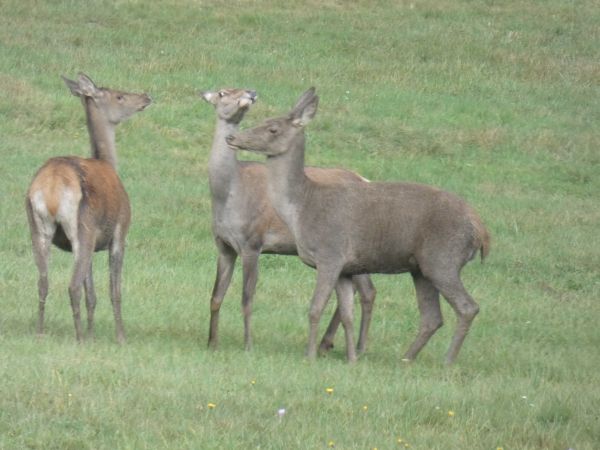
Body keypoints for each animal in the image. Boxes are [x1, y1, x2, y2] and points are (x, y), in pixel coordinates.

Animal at [25, 73, 151, 342]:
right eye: (119, 95)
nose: (146, 96)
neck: (108, 163)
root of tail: (51, 188)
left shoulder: (93, 244)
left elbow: (91, 294)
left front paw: (94, 334)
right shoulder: (120, 231)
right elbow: (114, 291)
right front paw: (120, 337)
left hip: (37, 226)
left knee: (43, 281)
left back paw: (41, 332)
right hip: (82, 225)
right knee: (72, 285)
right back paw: (80, 338)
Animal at [204, 87, 378, 356]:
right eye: (223, 92)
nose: (251, 93)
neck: (230, 194)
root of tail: (365, 179)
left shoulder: (252, 242)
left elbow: (247, 298)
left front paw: (248, 345)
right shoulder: (224, 246)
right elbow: (216, 296)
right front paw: (212, 342)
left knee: (367, 291)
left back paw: (354, 348)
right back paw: (327, 343)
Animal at [227, 88, 490, 366]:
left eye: (273, 128)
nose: (233, 137)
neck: (303, 208)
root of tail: (482, 230)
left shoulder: (330, 254)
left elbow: (315, 308)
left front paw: (310, 355)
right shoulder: (346, 269)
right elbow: (347, 314)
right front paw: (352, 358)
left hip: (443, 258)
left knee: (467, 307)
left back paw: (447, 361)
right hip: (421, 269)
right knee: (432, 317)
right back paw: (406, 359)